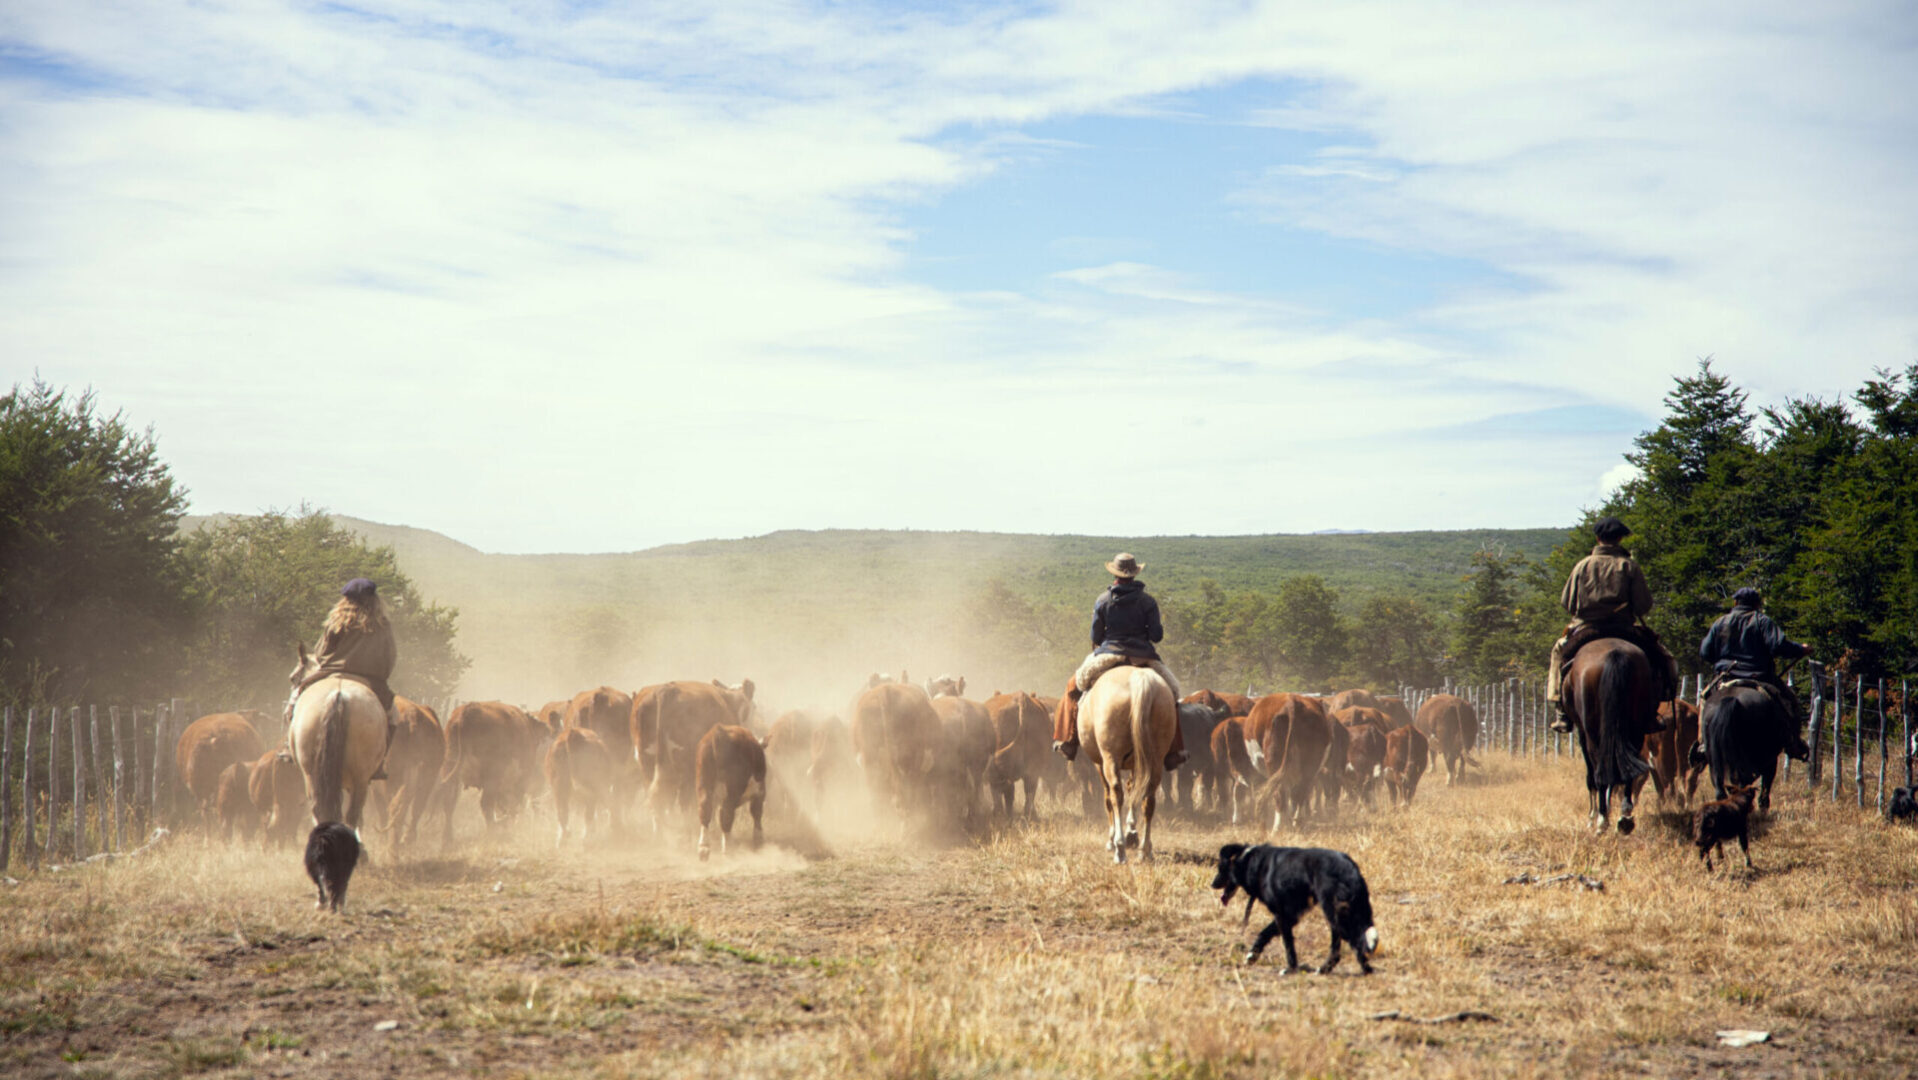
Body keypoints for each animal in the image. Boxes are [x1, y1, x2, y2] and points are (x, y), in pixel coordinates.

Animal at [437, 701, 542, 846]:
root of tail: (468, 712)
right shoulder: (521, 779)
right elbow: (515, 804)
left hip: (450, 769)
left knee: (449, 803)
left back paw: (447, 839)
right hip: (492, 776)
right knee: (486, 804)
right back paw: (493, 832)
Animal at [695, 724, 767, 860]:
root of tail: (719, 731)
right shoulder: (759, 794)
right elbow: (756, 814)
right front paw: (758, 840)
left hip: (704, 783)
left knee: (705, 809)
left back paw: (704, 848)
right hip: (732, 790)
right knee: (726, 814)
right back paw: (728, 850)